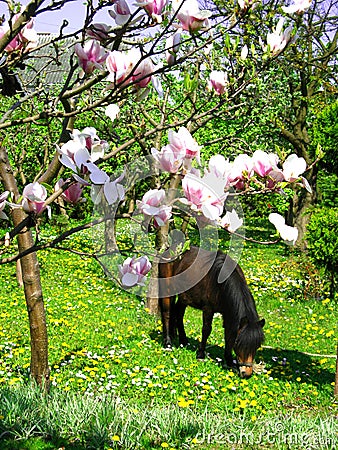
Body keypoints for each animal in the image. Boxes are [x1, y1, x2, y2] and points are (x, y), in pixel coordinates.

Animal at [160, 248, 266, 378]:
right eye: (238, 343)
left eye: (257, 345)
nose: (247, 373)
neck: (220, 280)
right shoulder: (208, 309)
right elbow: (206, 330)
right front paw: (201, 354)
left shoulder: (228, 313)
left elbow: (228, 334)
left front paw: (229, 361)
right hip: (167, 290)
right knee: (167, 313)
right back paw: (168, 343)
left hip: (183, 298)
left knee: (179, 315)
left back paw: (183, 341)